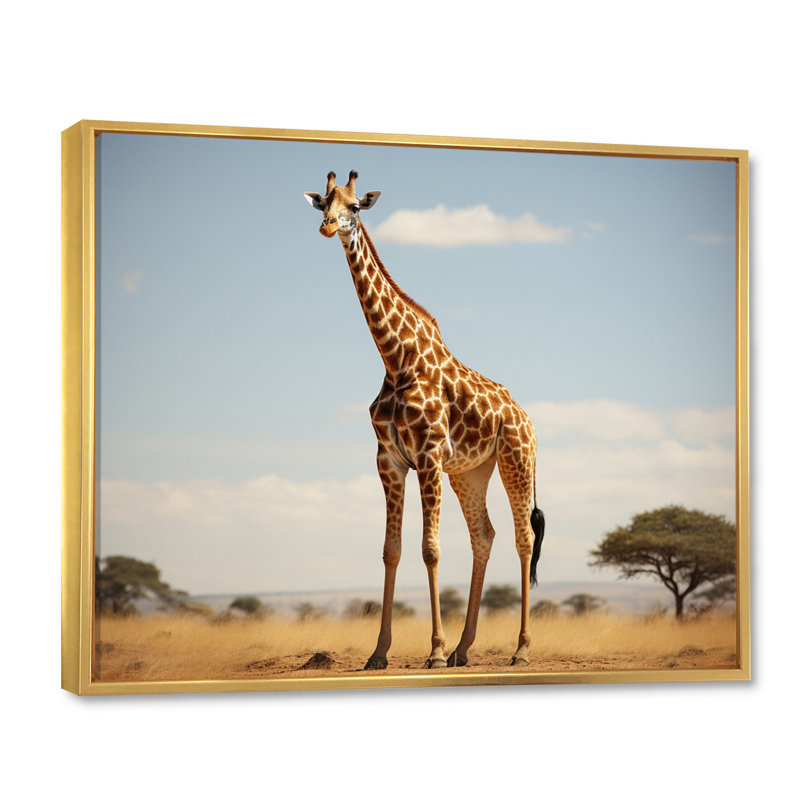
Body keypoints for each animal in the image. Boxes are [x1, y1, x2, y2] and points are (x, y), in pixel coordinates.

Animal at [303, 170, 545, 669]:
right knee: (484, 535)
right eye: (324, 203)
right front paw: (379, 653)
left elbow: (430, 549)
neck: (398, 360)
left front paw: (431, 650)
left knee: (523, 538)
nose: (328, 227)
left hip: (516, 460)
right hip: (471, 472)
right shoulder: (389, 460)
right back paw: (463, 649)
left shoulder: (429, 455)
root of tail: (529, 419)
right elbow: (391, 550)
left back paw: (520, 650)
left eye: (355, 207)